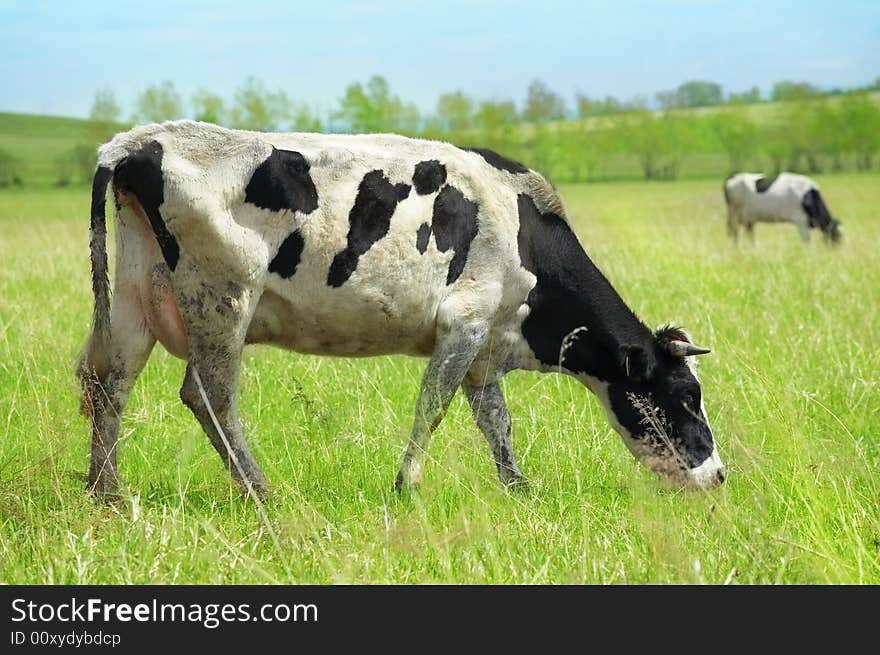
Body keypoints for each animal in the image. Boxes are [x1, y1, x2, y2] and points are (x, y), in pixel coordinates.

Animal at [79, 121, 724, 502]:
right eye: (685, 396)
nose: (718, 475)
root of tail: (137, 142)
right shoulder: (463, 324)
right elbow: (432, 409)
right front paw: (407, 486)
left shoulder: (485, 350)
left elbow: (497, 423)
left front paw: (518, 488)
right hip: (222, 298)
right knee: (207, 394)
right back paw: (261, 491)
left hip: (136, 297)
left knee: (108, 383)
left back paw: (107, 492)